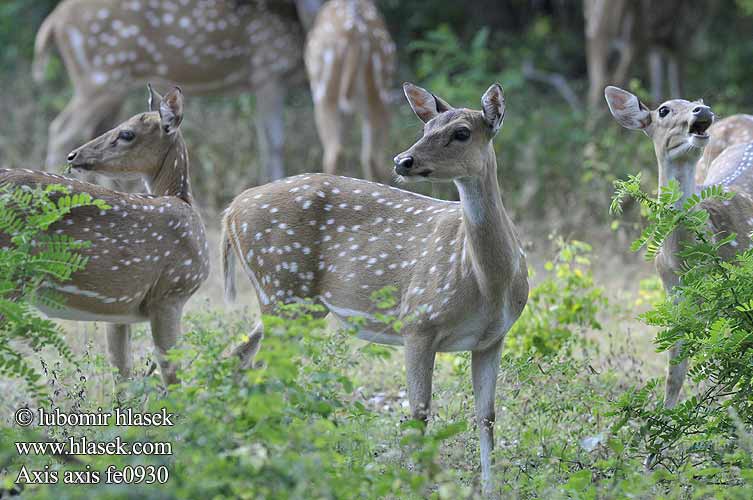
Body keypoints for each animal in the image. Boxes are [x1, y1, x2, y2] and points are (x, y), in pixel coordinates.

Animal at [0, 86, 209, 384]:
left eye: (127, 133)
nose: (73, 155)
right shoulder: (171, 292)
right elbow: (171, 375)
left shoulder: (122, 309)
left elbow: (121, 374)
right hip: (12, 279)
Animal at [222, 83, 528, 492]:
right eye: (426, 127)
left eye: (462, 132)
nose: (403, 160)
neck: (488, 284)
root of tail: (230, 212)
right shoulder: (418, 320)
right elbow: (419, 413)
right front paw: (417, 487)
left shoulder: (492, 338)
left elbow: (487, 416)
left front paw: (490, 490)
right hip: (279, 285)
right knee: (264, 370)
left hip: (295, 302)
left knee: (241, 356)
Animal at [604, 87, 753, 410]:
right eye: (663, 110)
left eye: (699, 101)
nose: (703, 110)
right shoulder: (675, 296)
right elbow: (676, 370)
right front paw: (665, 419)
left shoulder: (732, 294)